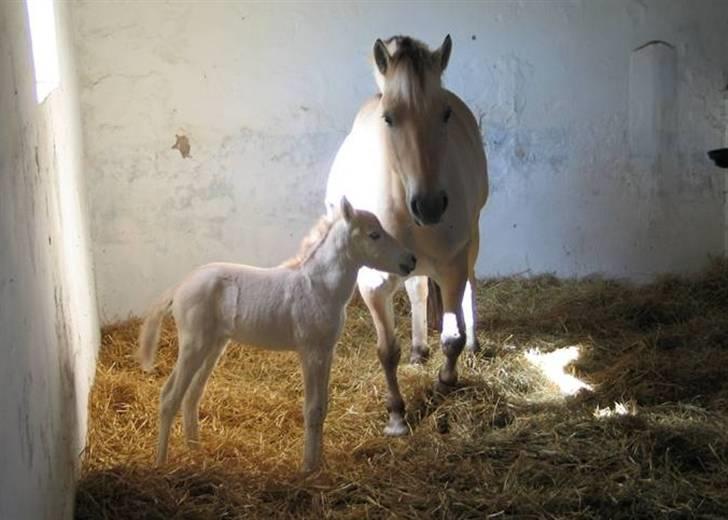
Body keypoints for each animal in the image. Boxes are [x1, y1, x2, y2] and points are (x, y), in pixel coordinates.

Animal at [326, 34, 490, 436]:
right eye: (389, 118)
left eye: (444, 114)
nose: (429, 206)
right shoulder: (372, 283)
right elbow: (387, 351)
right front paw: (397, 415)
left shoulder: (451, 268)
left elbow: (452, 337)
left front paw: (446, 382)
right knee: (417, 290)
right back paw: (418, 350)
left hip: (472, 241)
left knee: (469, 286)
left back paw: (472, 344)